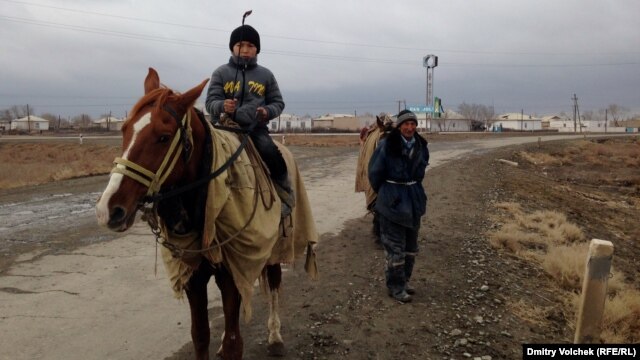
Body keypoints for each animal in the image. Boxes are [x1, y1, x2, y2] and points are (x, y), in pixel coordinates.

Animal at [95, 68, 318, 360]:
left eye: (163, 136)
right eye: (124, 129)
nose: (109, 209)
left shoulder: (233, 273)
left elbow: (235, 343)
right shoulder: (194, 277)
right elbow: (200, 336)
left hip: (276, 249)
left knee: (274, 285)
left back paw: (275, 336)